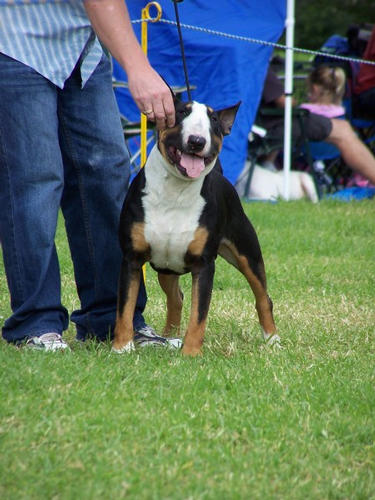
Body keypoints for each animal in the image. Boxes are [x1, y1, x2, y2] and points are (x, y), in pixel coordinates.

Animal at [113, 97, 280, 356]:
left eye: (214, 119)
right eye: (181, 112)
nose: (197, 141)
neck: (176, 190)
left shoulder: (204, 265)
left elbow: (199, 314)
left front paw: (191, 353)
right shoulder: (132, 258)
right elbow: (125, 307)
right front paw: (121, 348)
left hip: (247, 254)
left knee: (263, 296)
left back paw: (272, 338)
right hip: (166, 267)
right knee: (176, 299)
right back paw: (168, 336)